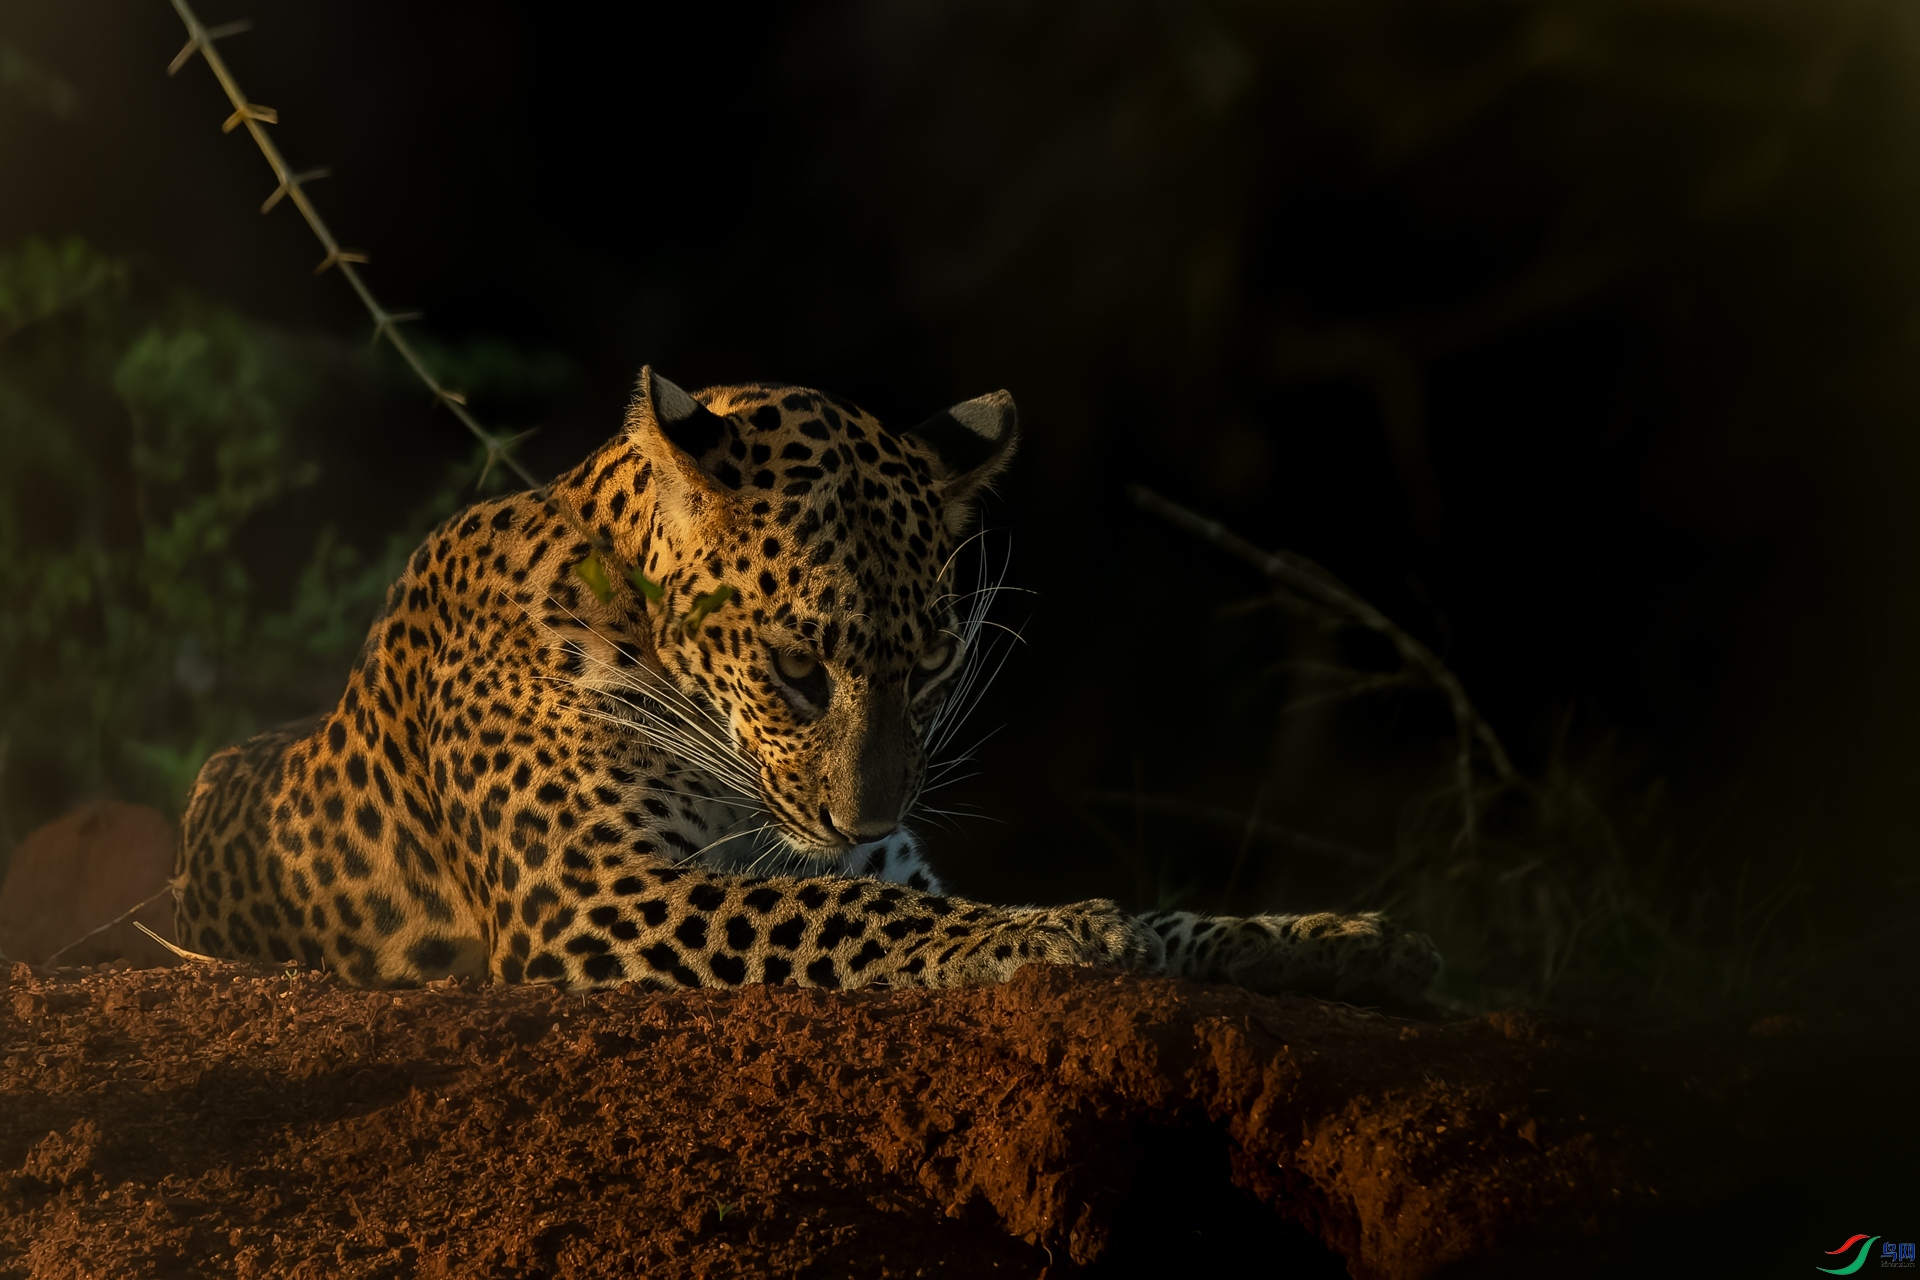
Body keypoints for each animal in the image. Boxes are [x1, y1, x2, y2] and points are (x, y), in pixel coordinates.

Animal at [172, 368, 1441, 1000]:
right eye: (796, 666)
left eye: (930, 671)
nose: (864, 818)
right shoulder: (595, 889)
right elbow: (839, 911)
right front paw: (1064, 927)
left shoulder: (876, 864)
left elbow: (1148, 914)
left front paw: (1333, 935)